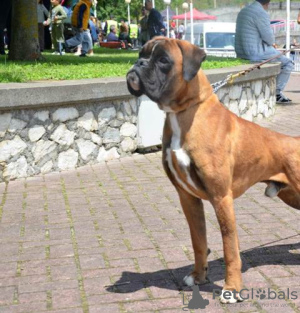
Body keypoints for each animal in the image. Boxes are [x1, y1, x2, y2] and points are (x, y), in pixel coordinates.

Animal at [126, 36, 300, 302]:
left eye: (163, 60)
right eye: (140, 54)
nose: (139, 64)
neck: (183, 113)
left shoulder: (221, 198)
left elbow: (230, 247)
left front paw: (232, 288)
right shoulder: (188, 198)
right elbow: (198, 241)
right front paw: (198, 277)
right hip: (290, 195)